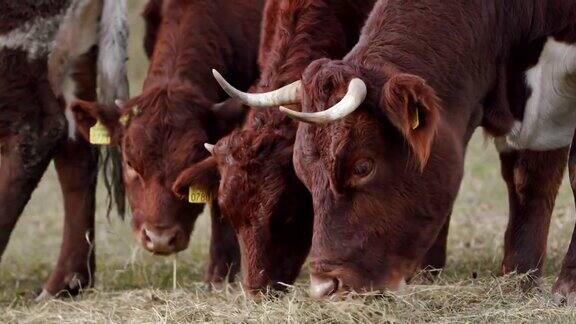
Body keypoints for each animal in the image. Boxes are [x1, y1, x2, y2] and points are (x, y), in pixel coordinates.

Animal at [227, 0, 576, 300]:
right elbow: (527, 178)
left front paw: (566, 285)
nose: (325, 287)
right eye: (303, 176)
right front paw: (518, 278)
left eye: (362, 166)